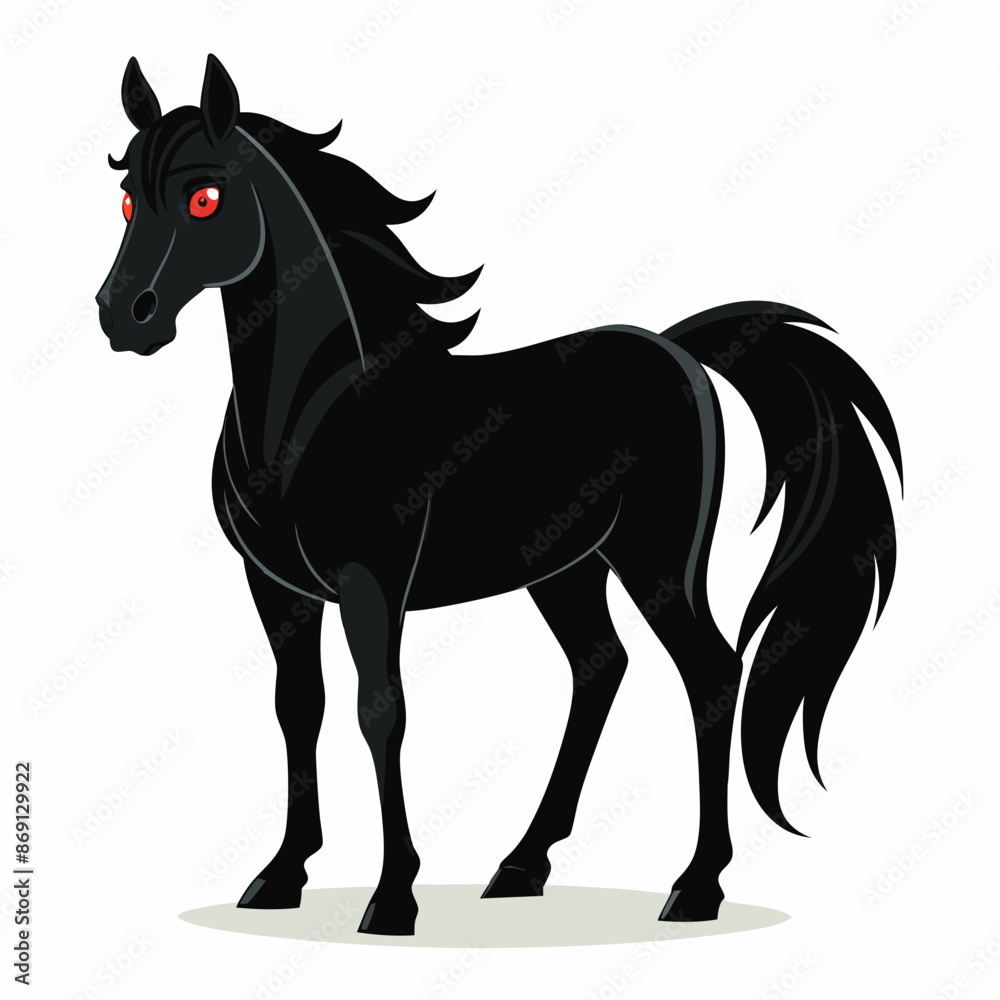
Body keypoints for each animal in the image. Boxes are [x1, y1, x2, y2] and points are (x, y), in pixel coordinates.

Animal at [95, 54, 903, 936]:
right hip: (567, 568)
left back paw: (695, 885)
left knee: (712, 675)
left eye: (206, 196)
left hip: (655, 562)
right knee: (600, 668)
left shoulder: (372, 580)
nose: (123, 317)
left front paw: (393, 896)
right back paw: (522, 864)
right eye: (128, 196)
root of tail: (677, 352)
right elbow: (297, 707)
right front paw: (280, 876)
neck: (317, 406)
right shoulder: (276, 587)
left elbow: (380, 711)